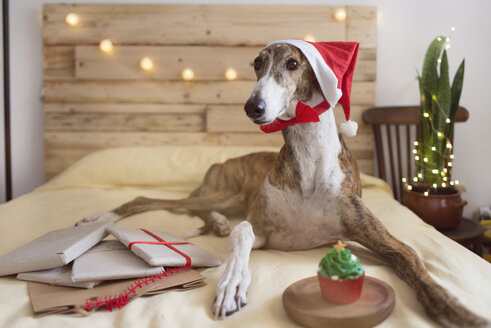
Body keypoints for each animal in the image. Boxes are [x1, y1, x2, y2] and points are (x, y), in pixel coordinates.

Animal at [80, 42, 488, 326]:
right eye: (256, 64)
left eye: (292, 64)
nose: (253, 107)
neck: (308, 160)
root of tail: (222, 163)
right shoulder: (262, 227)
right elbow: (242, 235)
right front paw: (232, 285)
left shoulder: (379, 238)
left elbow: (416, 264)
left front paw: (455, 308)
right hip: (228, 192)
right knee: (146, 199)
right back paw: (99, 219)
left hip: (225, 195)